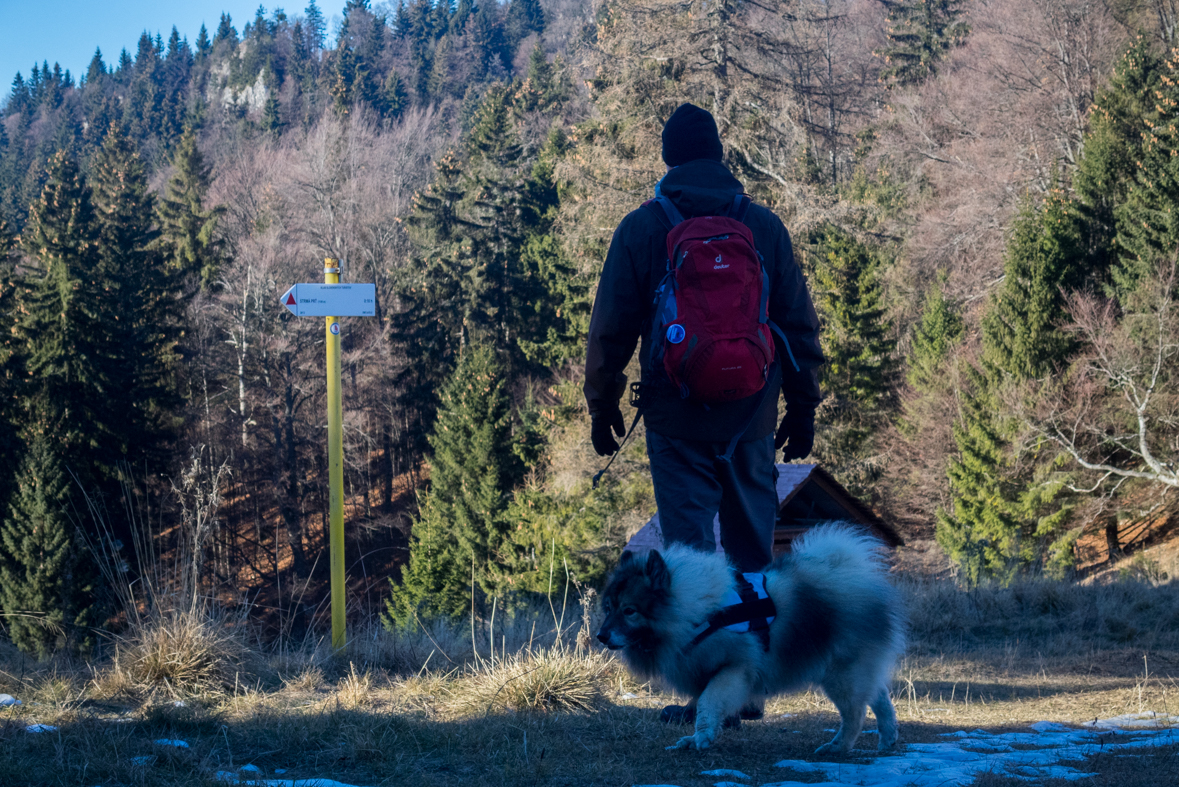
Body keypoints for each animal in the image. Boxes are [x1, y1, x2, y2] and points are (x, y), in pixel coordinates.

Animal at [598, 523, 900, 749]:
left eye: (629, 611)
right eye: (609, 608)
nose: (601, 635)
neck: (693, 614)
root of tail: (856, 575)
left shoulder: (733, 670)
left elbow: (708, 703)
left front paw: (700, 738)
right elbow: (705, 706)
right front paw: (701, 733)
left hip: (841, 674)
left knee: (856, 713)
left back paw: (838, 747)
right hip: (850, 671)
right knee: (879, 697)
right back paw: (887, 738)